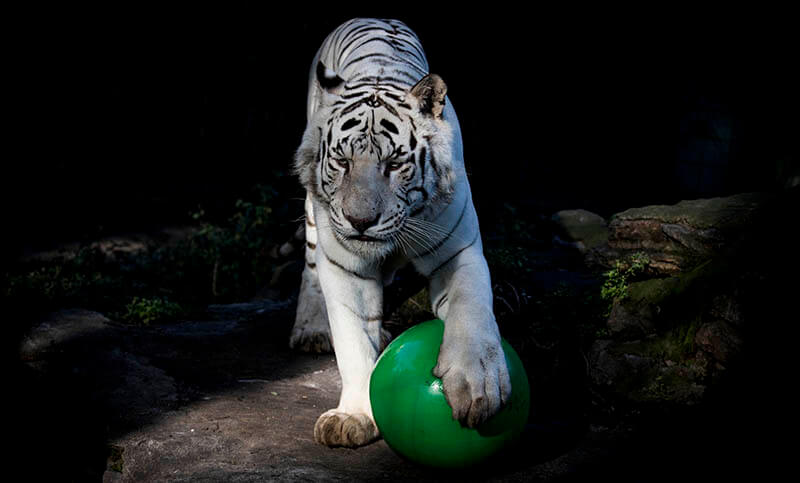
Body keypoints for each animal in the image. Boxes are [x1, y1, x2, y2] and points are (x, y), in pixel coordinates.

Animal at [291, 18, 511, 448]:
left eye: (393, 164)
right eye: (342, 161)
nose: (359, 221)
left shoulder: (458, 251)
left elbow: (471, 312)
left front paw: (478, 388)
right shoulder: (345, 267)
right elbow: (353, 340)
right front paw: (353, 416)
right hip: (312, 212)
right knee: (309, 264)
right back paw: (311, 330)